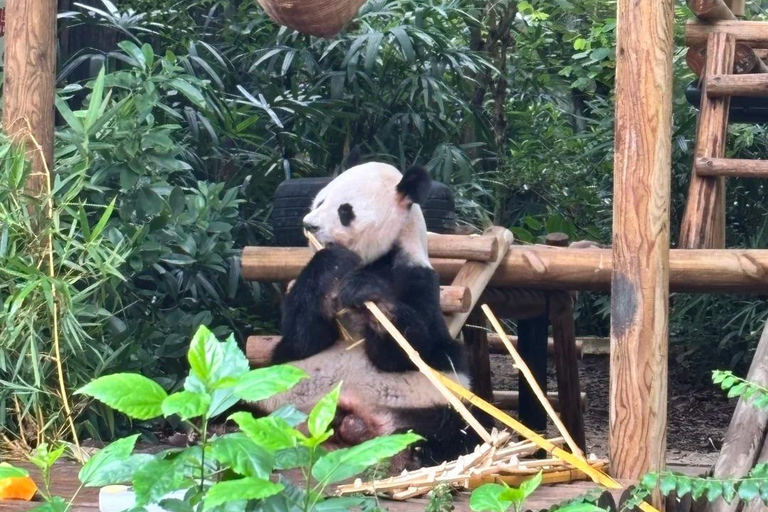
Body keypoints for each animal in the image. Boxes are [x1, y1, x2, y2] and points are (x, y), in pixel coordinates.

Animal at [268, 161, 484, 465]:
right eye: (320, 201)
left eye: (345, 210)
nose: (309, 224)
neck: (375, 260)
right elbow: (301, 339)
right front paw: (332, 262)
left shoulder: (419, 280)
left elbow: (420, 349)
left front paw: (364, 290)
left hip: (432, 403)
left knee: (455, 429)